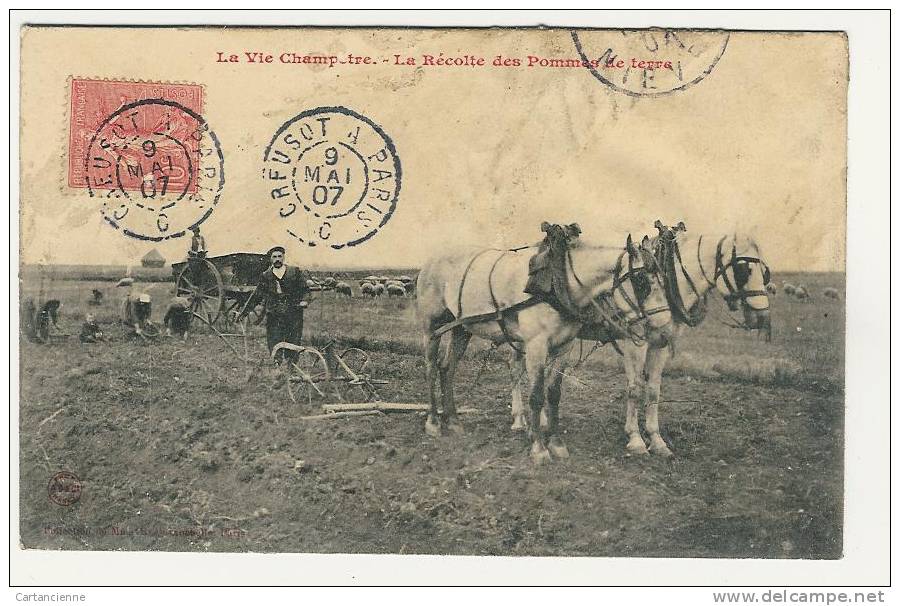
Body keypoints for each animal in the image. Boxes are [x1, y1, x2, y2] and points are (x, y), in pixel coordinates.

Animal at [414, 233, 668, 466]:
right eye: (642, 280)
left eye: (663, 278)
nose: (664, 328)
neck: (558, 282)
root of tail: (429, 262)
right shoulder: (536, 345)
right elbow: (536, 396)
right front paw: (538, 448)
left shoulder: (564, 347)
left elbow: (554, 394)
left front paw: (556, 443)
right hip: (431, 327)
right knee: (430, 369)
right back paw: (433, 422)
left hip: (461, 328)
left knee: (447, 368)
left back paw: (453, 421)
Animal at [510, 230, 768, 458]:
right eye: (744, 269)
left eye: (765, 272)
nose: (763, 316)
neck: (669, 281)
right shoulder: (635, 342)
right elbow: (634, 389)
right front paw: (635, 440)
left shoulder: (660, 344)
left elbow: (653, 390)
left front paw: (657, 440)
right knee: (518, 371)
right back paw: (521, 420)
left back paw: (531, 420)